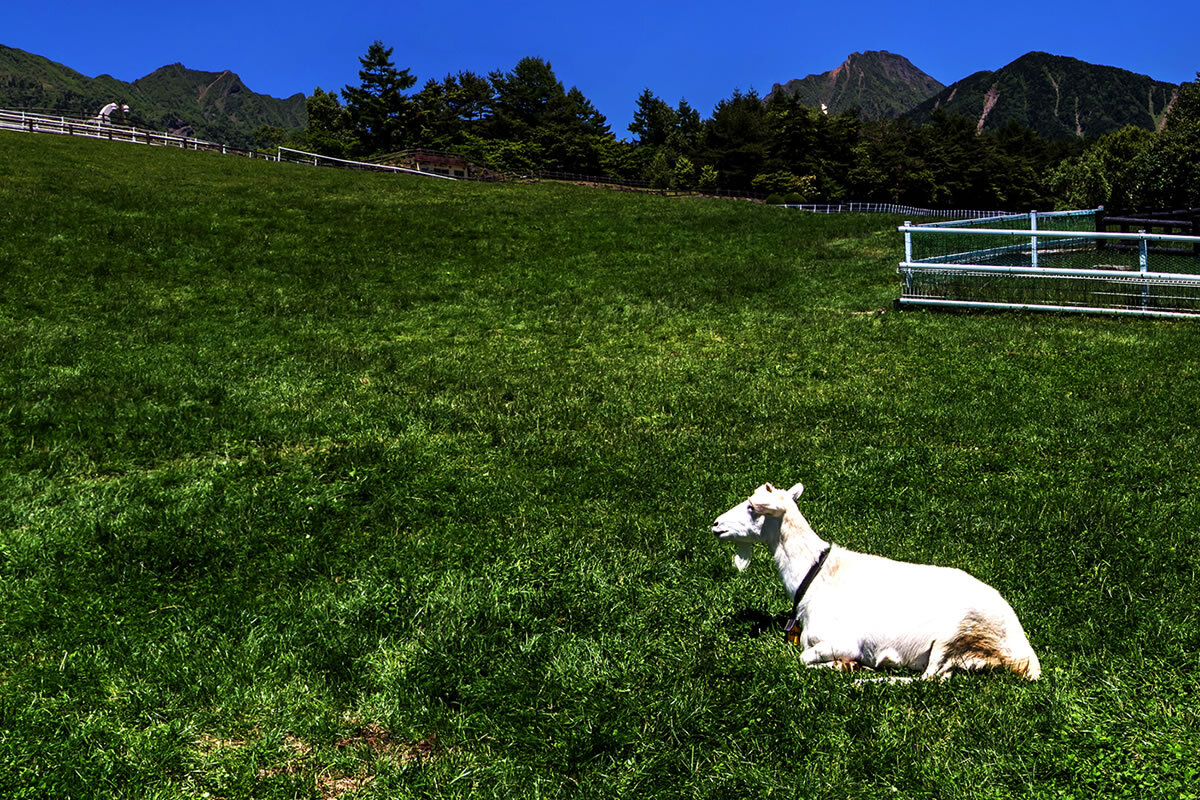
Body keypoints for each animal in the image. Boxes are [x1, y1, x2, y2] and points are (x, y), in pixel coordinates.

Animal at [710, 482, 1041, 681]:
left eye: (752, 507)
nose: (715, 524)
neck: (817, 575)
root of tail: (1025, 654)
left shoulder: (842, 640)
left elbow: (804, 658)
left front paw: (847, 664)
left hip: (955, 634)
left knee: (928, 679)